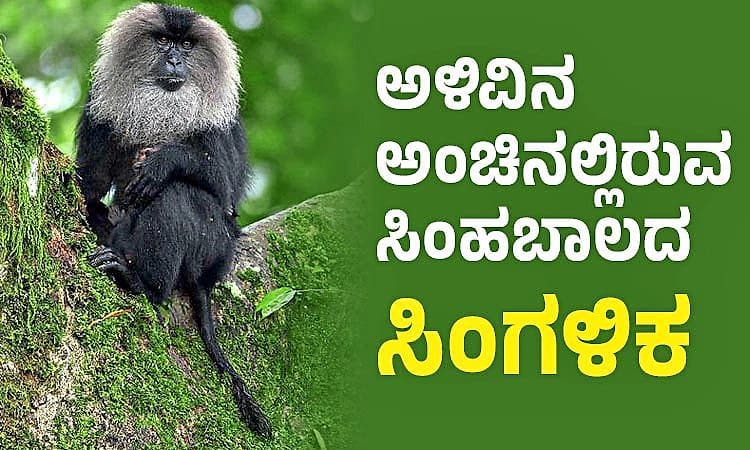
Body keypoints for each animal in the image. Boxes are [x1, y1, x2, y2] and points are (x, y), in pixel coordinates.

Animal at [75, 3, 272, 439]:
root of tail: (209, 275)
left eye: (186, 45)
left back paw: (139, 282)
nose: (175, 61)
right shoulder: (100, 110)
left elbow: (224, 186)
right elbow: (91, 185)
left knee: (174, 195)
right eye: (163, 41)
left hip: (214, 245)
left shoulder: (221, 124)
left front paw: (164, 160)